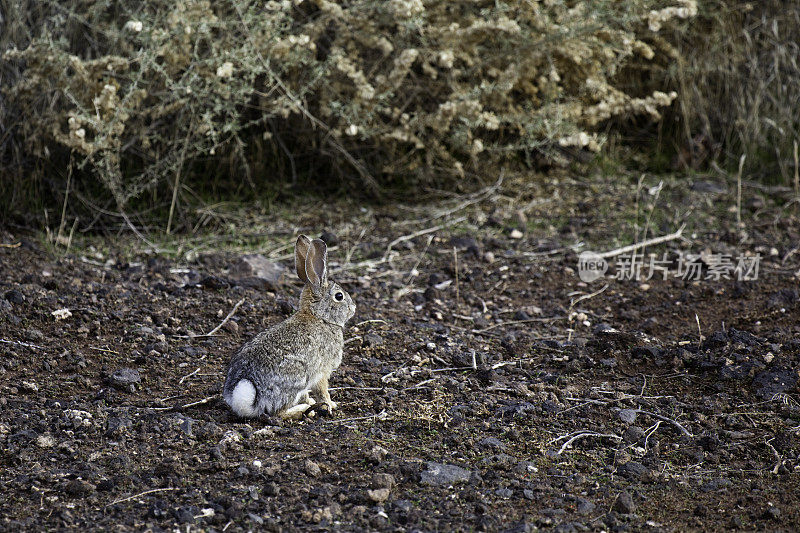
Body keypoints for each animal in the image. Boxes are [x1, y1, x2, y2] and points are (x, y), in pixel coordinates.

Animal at [220, 235, 354, 418]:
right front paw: (330, 404)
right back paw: (304, 410)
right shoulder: (322, 372)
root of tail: (246, 398)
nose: (353, 308)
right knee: (279, 413)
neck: (319, 317)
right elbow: (322, 391)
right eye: (339, 296)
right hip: (298, 376)